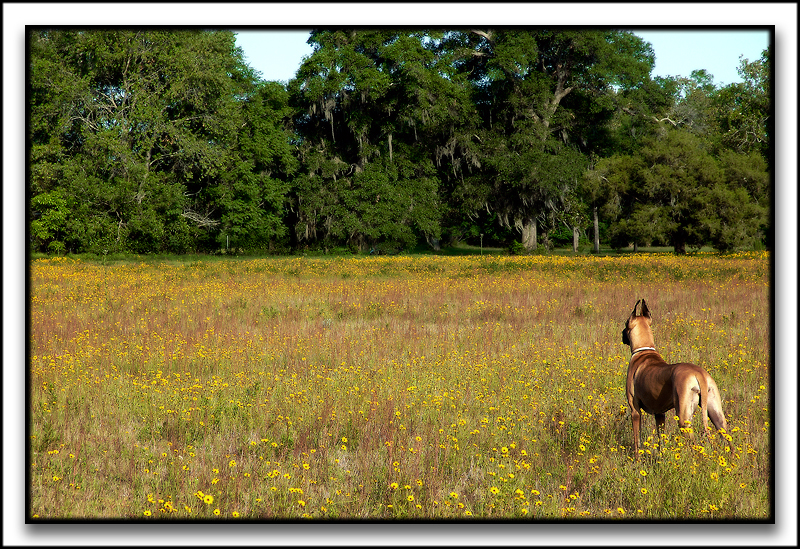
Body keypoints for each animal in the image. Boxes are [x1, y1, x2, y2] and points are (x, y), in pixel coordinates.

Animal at [620, 298, 728, 452]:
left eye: (626, 324)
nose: (622, 334)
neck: (644, 350)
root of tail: (699, 374)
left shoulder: (635, 411)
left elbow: (637, 442)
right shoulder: (659, 414)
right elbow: (661, 440)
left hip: (684, 419)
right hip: (717, 416)